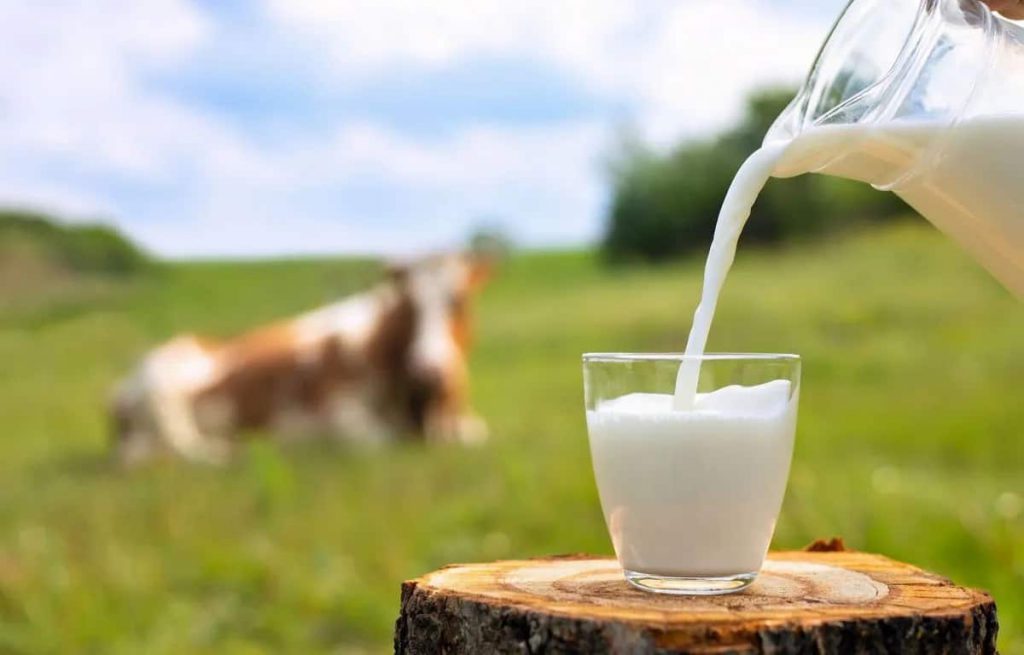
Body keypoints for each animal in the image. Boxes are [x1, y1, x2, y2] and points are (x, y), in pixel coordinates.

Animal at [110, 251, 493, 466]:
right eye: (407, 305)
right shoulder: (337, 412)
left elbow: (475, 435)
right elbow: (376, 441)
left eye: (458, 301)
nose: (428, 371)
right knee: (180, 448)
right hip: (163, 390)